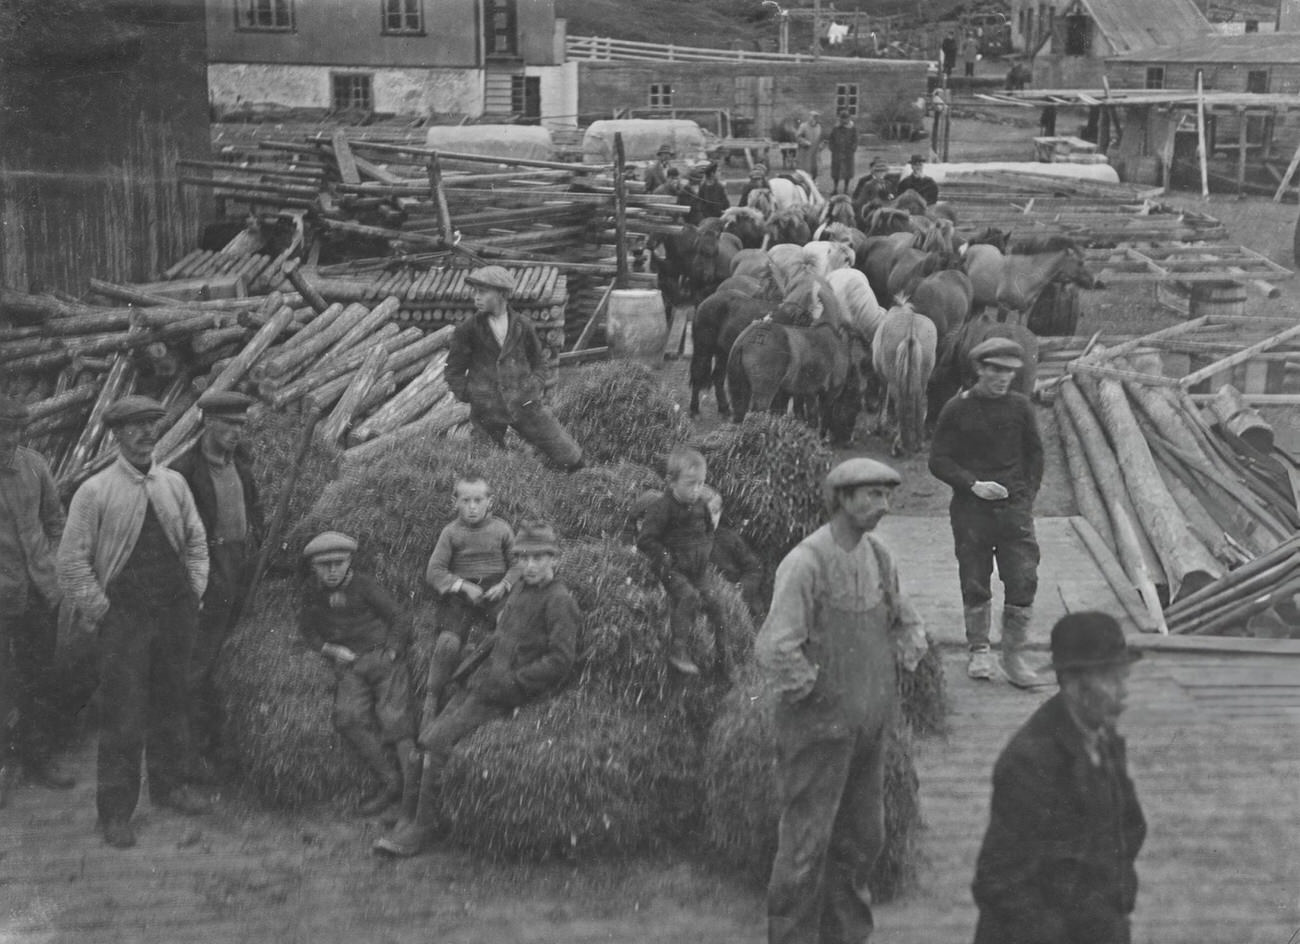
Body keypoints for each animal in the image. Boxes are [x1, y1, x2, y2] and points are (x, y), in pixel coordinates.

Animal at [873, 299, 935, 455]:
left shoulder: (883, 377)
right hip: (922, 378)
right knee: (920, 402)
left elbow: (882, 395)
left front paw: (880, 426)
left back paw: (898, 445)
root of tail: (911, 331)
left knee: (899, 403)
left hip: (895, 380)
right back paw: (917, 443)